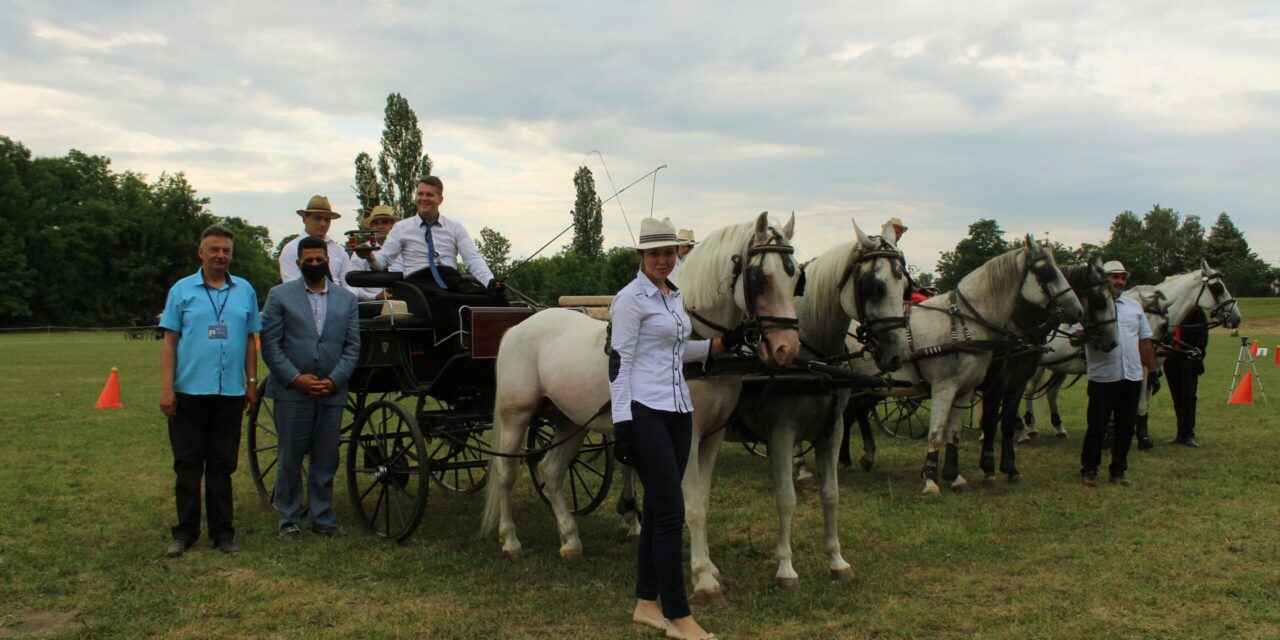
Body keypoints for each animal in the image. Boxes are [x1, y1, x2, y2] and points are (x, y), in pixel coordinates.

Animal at [481, 211, 798, 560]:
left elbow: (701, 502)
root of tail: (517, 328)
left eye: (796, 277)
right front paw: (703, 570)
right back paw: (510, 540)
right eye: (761, 277)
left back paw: (570, 539)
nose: (787, 348)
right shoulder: (688, 435)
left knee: (551, 470)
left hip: (570, 420)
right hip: (516, 414)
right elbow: (691, 506)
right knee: (506, 473)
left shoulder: (713, 435)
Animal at [680, 220, 911, 604]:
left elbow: (831, 495)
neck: (812, 359)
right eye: (874, 286)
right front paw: (786, 569)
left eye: (906, 286)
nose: (897, 355)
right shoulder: (781, 433)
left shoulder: (832, 431)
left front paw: (837, 560)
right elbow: (786, 499)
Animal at [844, 240, 1085, 494]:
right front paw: (933, 479)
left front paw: (956, 475)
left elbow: (958, 431)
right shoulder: (949, 387)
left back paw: (854, 459)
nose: (1078, 310)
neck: (966, 325)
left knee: (852, 413)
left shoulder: (971, 388)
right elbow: (939, 431)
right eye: (1048, 273)